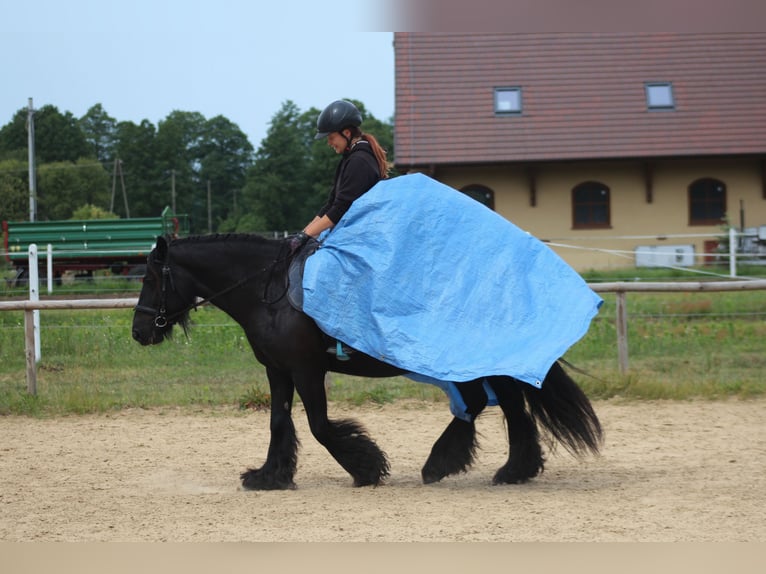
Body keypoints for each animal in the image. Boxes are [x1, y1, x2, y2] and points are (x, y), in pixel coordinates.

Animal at [132, 233, 604, 490]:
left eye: (151, 278)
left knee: (508, 408)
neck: (271, 292)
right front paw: (270, 476)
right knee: (484, 406)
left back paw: (502, 469)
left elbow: (320, 426)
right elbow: (278, 422)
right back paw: (457, 464)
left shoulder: (307, 370)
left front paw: (366, 468)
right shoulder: (277, 370)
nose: (139, 332)